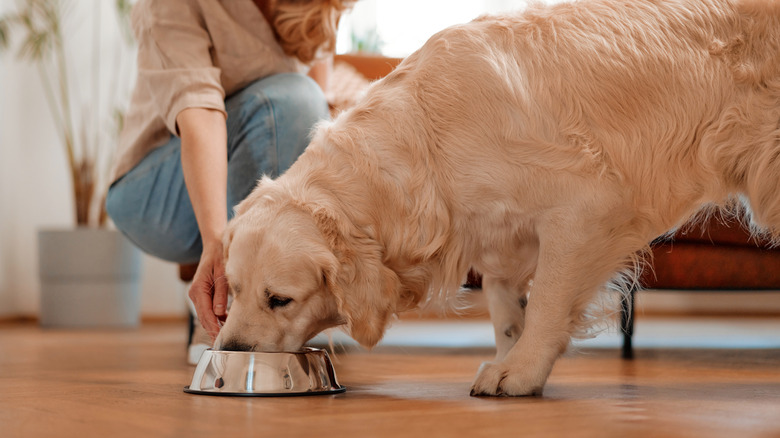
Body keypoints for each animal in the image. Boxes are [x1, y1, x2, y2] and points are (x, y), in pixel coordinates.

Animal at [213, 0, 780, 396]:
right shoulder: (499, 233)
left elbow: (548, 298)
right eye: (232, 290)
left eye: (280, 300)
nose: (228, 351)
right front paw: (512, 356)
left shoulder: (586, 207)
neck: (428, 143)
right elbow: (507, 307)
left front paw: (522, 372)